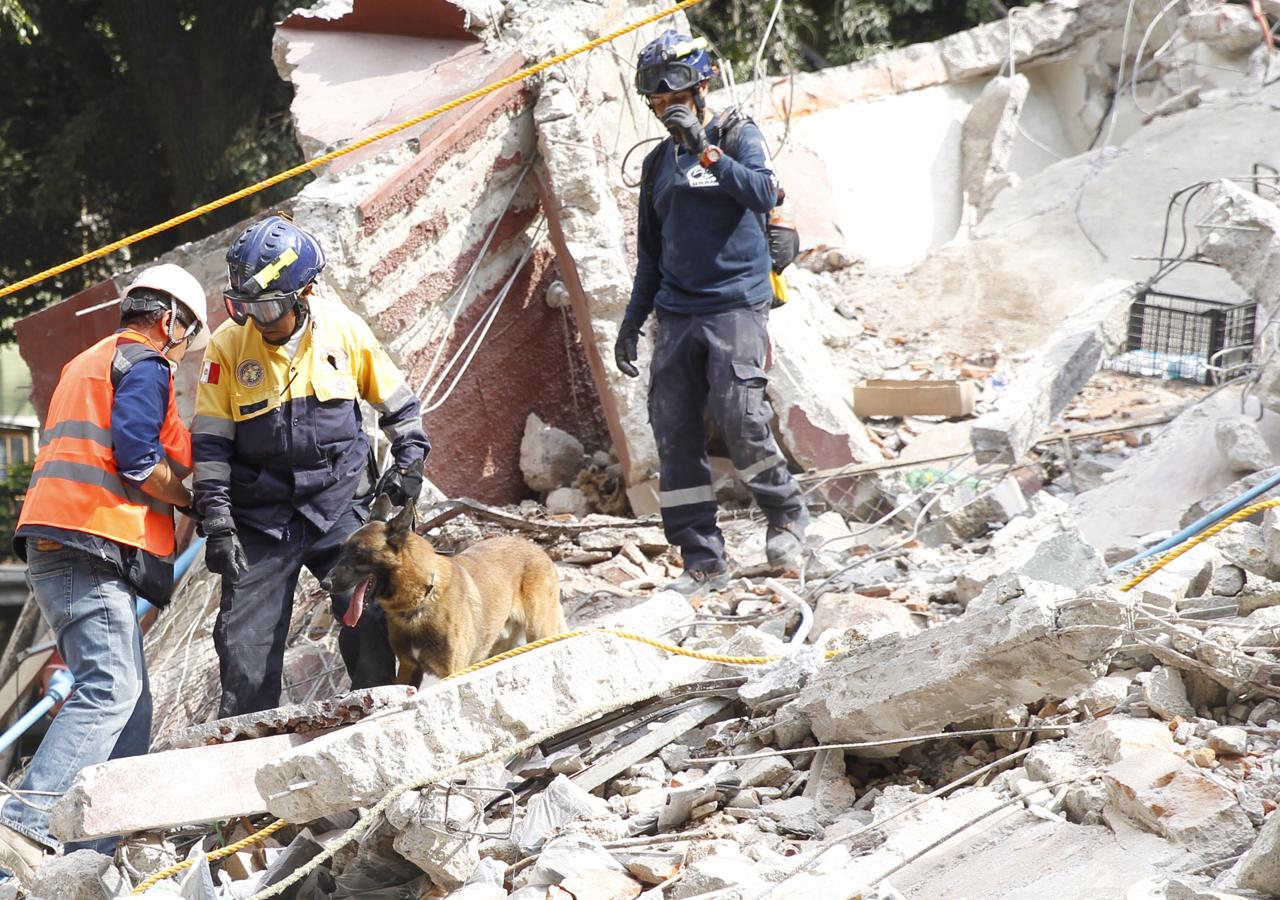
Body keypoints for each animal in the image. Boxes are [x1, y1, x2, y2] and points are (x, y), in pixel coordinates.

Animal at [320, 496, 565, 686]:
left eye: (357, 552)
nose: (324, 584)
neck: (420, 601)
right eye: (341, 550)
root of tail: (535, 547)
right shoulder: (408, 667)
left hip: (539, 631)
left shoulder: (453, 670)